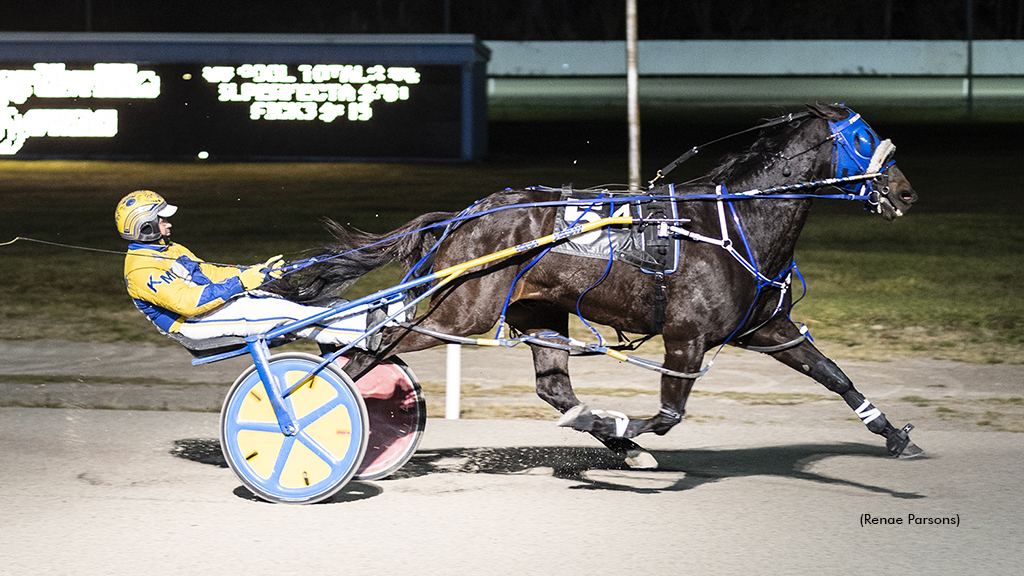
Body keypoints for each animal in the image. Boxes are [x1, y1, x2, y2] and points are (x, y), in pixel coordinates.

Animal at [270, 103, 921, 467]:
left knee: (554, 387)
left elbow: (833, 374)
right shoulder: (686, 337)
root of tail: (467, 214)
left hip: (537, 312)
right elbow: (668, 414)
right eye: (864, 140)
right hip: (462, 311)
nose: (906, 192)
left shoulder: (765, 327)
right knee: (377, 344)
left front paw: (893, 436)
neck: (734, 223)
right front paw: (626, 428)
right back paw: (309, 407)